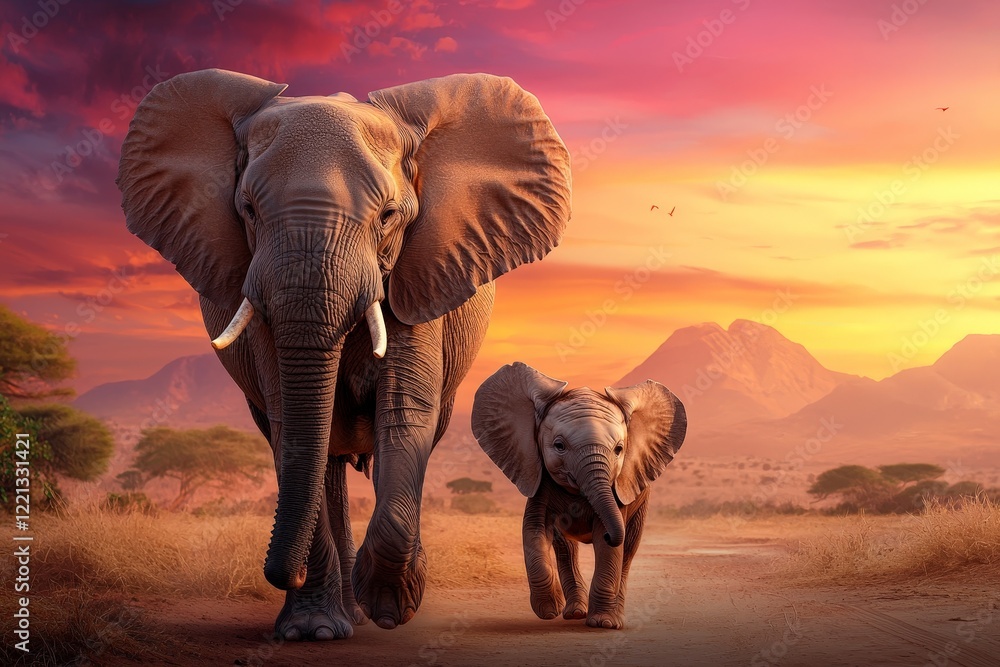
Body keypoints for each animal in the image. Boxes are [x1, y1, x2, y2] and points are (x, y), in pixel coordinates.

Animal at [116, 69, 571, 640]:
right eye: (248, 211)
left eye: (389, 216)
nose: (277, 573)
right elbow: (290, 424)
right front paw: (311, 631)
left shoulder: (418, 274)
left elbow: (403, 416)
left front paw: (391, 606)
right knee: (322, 461)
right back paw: (342, 614)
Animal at [471, 362, 685, 629]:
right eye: (559, 446)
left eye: (619, 449)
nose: (610, 534)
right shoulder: (538, 476)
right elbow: (533, 530)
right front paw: (549, 609)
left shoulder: (617, 490)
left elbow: (609, 548)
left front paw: (603, 623)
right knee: (565, 549)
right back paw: (573, 613)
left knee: (628, 552)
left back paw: (613, 617)